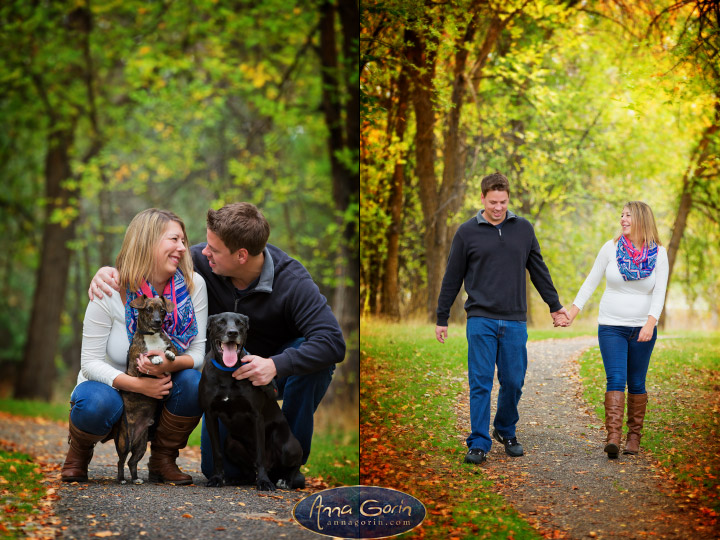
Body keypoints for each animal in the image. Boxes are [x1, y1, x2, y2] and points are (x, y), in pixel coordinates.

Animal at [115, 296, 179, 486]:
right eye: (148, 309)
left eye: (163, 310)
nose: (158, 321)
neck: (152, 335)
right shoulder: (137, 367)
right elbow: (148, 356)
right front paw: (156, 357)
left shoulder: (173, 348)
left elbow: (171, 350)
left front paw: (168, 355)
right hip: (124, 442)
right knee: (121, 460)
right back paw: (122, 479)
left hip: (141, 445)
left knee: (132, 461)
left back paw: (135, 478)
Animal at [200, 310, 304, 492]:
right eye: (220, 322)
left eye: (240, 323)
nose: (232, 333)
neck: (227, 371)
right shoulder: (210, 415)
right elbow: (216, 453)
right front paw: (217, 478)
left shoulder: (256, 417)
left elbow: (260, 455)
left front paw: (263, 482)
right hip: (231, 444)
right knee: (249, 471)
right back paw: (237, 479)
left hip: (288, 448)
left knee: (297, 462)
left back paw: (285, 480)